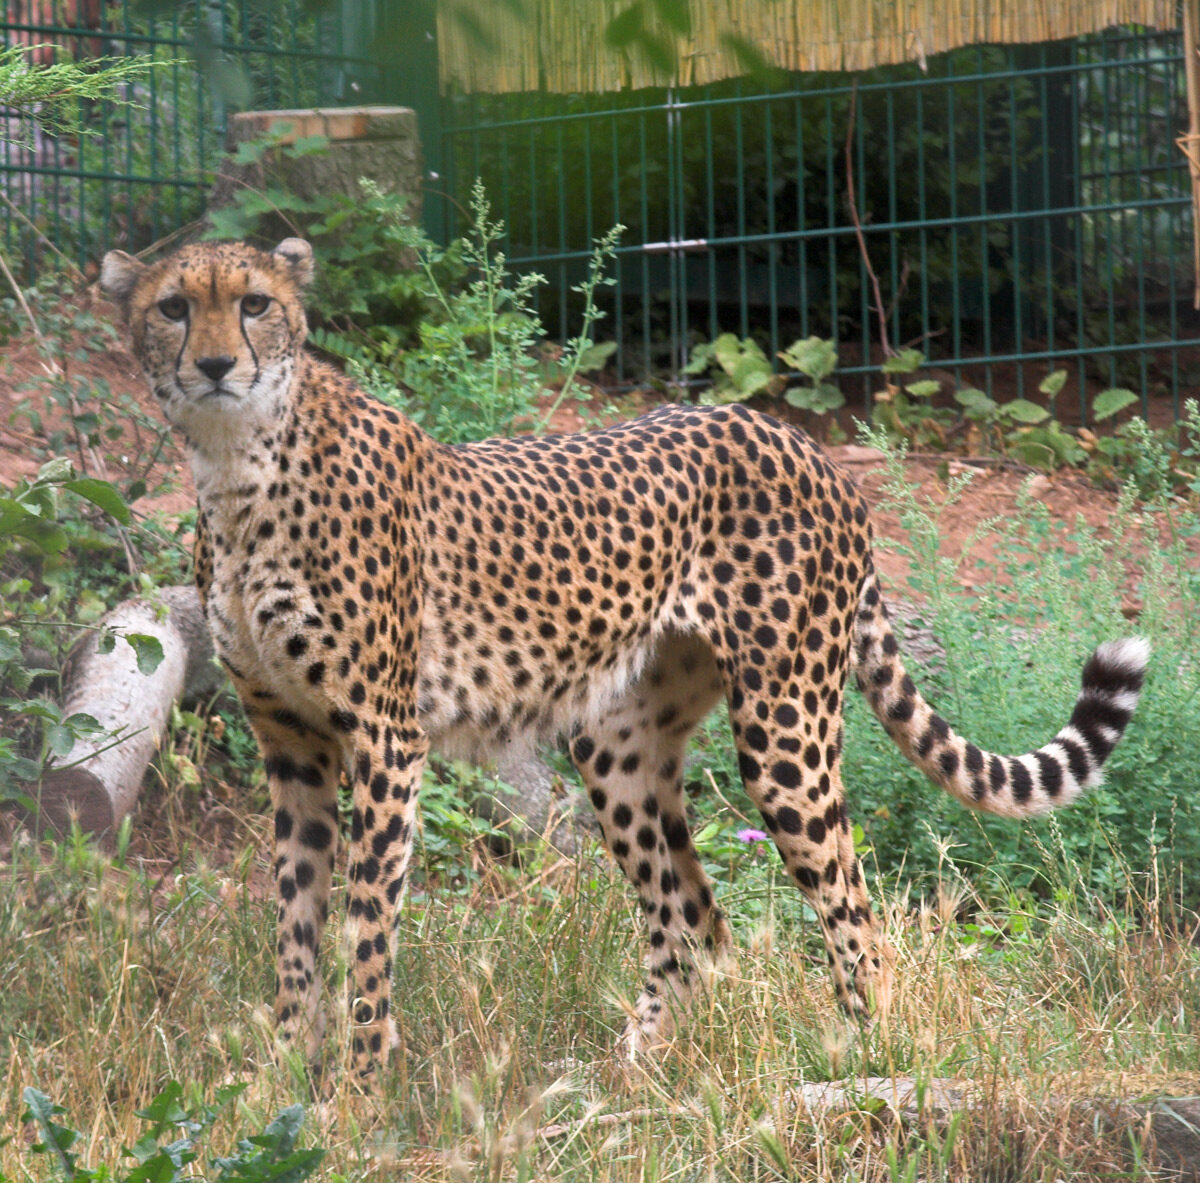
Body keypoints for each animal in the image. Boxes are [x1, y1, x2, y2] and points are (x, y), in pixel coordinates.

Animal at [101, 237, 1149, 1079]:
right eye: (173, 307)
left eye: (253, 302)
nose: (216, 364)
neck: (238, 467)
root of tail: (794, 437)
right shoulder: (290, 742)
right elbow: (295, 920)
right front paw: (278, 1071)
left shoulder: (384, 739)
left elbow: (365, 927)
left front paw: (358, 1087)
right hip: (618, 744)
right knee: (696, 920)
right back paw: (625, 1076)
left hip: (785, 731)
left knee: (853, 910)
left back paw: (864, 1055)